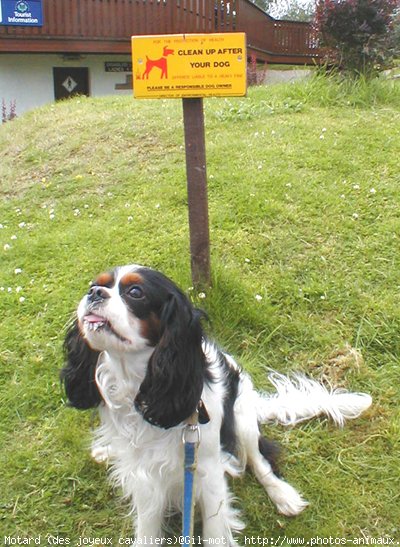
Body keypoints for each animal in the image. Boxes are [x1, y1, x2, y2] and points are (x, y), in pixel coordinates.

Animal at [62, 266, 372, 544]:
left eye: (135, 292)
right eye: (95, 284)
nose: (94, 292)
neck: (140, 386)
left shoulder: (207, 473)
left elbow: (214, 532)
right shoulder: (145, 478)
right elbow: (147, 531)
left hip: (243, 418)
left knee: (259, 460)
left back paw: (283, 495)